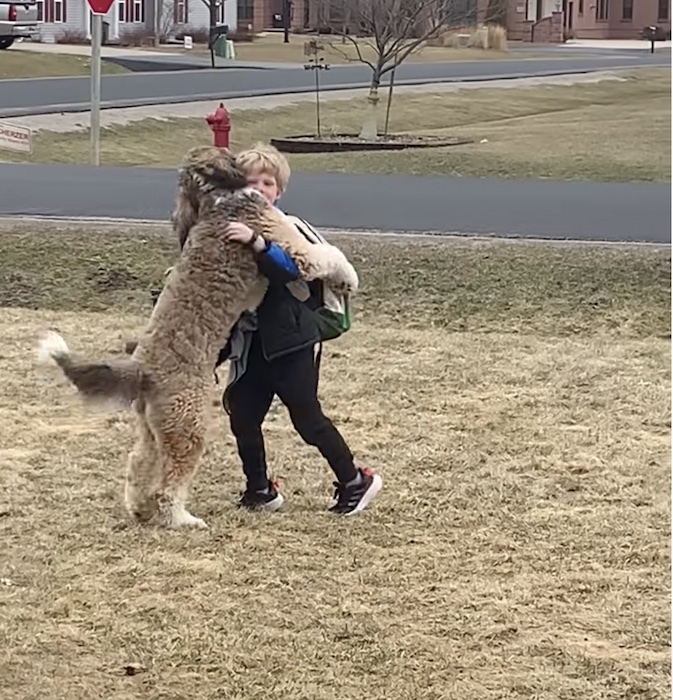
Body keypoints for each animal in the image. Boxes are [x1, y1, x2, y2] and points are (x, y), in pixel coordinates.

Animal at [38, 148, 356, 532]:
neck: (218, 198)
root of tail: (141, 369)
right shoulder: (288, 245)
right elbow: (323, 255)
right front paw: (348, 278)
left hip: (153, 428)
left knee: (138, 465)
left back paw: (141, 510)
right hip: (187, 426)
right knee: (169, 484)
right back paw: (181, 519)